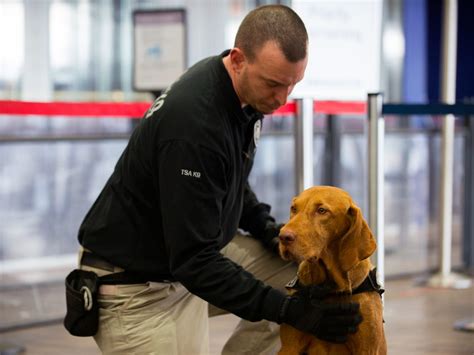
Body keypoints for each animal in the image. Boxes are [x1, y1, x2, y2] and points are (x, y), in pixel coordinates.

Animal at [278, 186, 386, 355]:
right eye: (294, 208)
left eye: (322, 210)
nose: (283, 236)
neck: (329, 287)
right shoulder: (289, 347)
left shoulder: (366, 349)